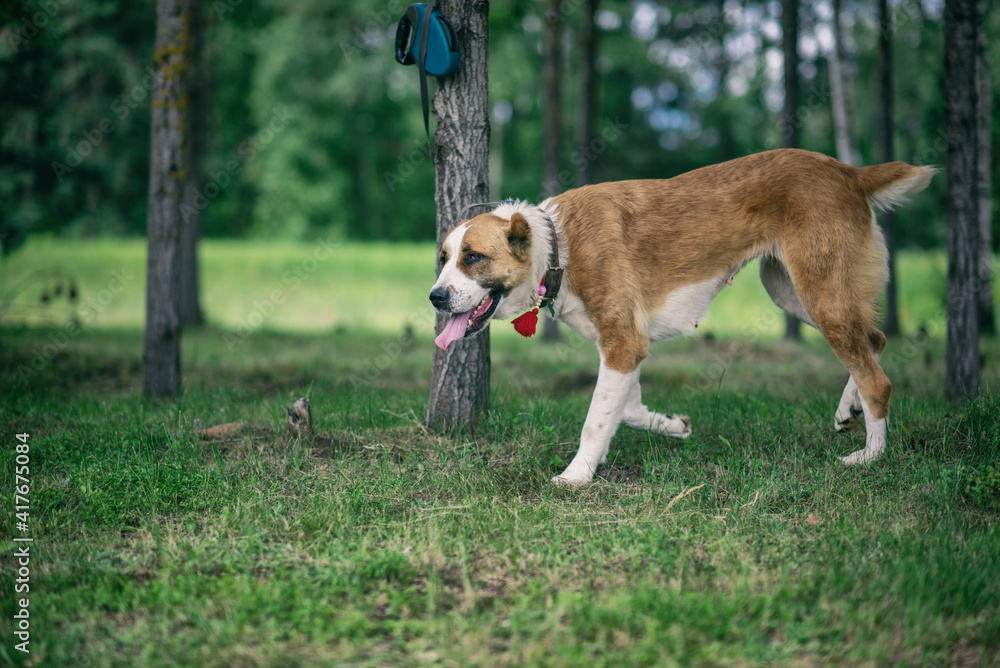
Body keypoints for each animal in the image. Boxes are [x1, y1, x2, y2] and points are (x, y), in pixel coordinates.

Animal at [428, 149, 935, 486]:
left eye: (473, 258)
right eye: (444, 259)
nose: (435, 297)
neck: (558, 247)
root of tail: (849, 172)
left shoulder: (623, 345)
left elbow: (595, 420)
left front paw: (576, 476)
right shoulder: (625, 347)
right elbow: (627, 410)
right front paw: (672, 426)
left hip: (818, 292)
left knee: (877, 379)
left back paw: (871, 455)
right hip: (791, 291)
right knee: (874, 339)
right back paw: (849, 409)